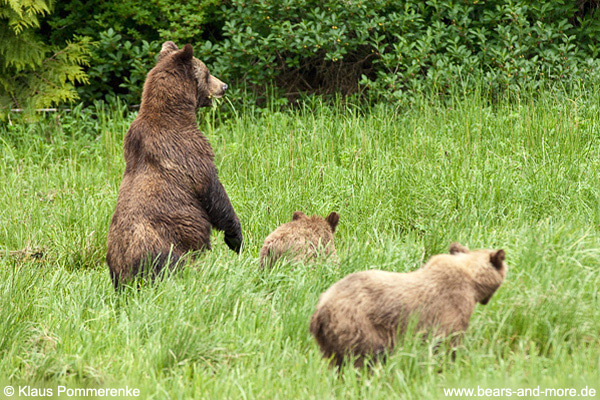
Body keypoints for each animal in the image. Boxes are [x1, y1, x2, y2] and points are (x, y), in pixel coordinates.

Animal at [106, 42, 243, 290]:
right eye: (207, 72)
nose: (224, 86)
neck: (178, 113)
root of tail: (124, 273)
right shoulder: (189, 153)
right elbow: (214, 193)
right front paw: (235, 238)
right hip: (165, 250)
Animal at [310, 242, 506, 368]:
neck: (472, 282)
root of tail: (320, 310)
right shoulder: (450, 307)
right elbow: (448, 342)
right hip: (356, 324)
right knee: (366, 357)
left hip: (328, 339)